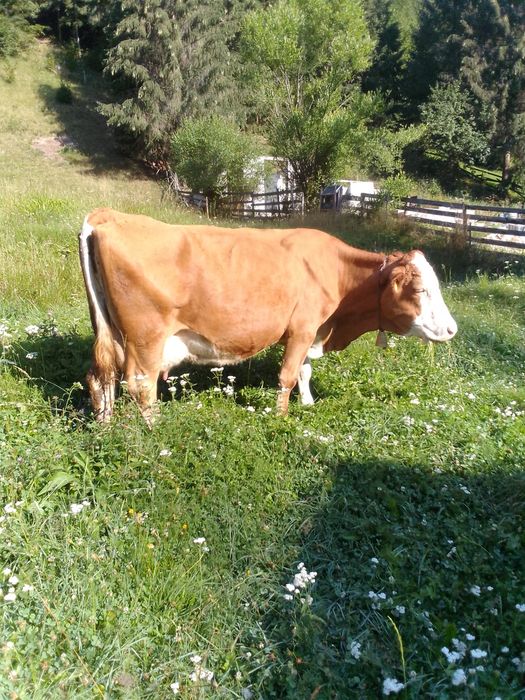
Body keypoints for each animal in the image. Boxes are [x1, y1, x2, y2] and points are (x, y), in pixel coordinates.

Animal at [79, 208, 457, 424]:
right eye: (420, 290)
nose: (452, 329)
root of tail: (109, 216)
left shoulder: (312, 330)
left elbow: (305, 370)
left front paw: (308, 404)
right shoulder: (303, 328)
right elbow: (288, 375)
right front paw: (281, 417)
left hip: (111, 333)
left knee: (100, 378)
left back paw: (105, 427)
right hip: (146, 337)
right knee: (140, 384)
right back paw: (154, 431)